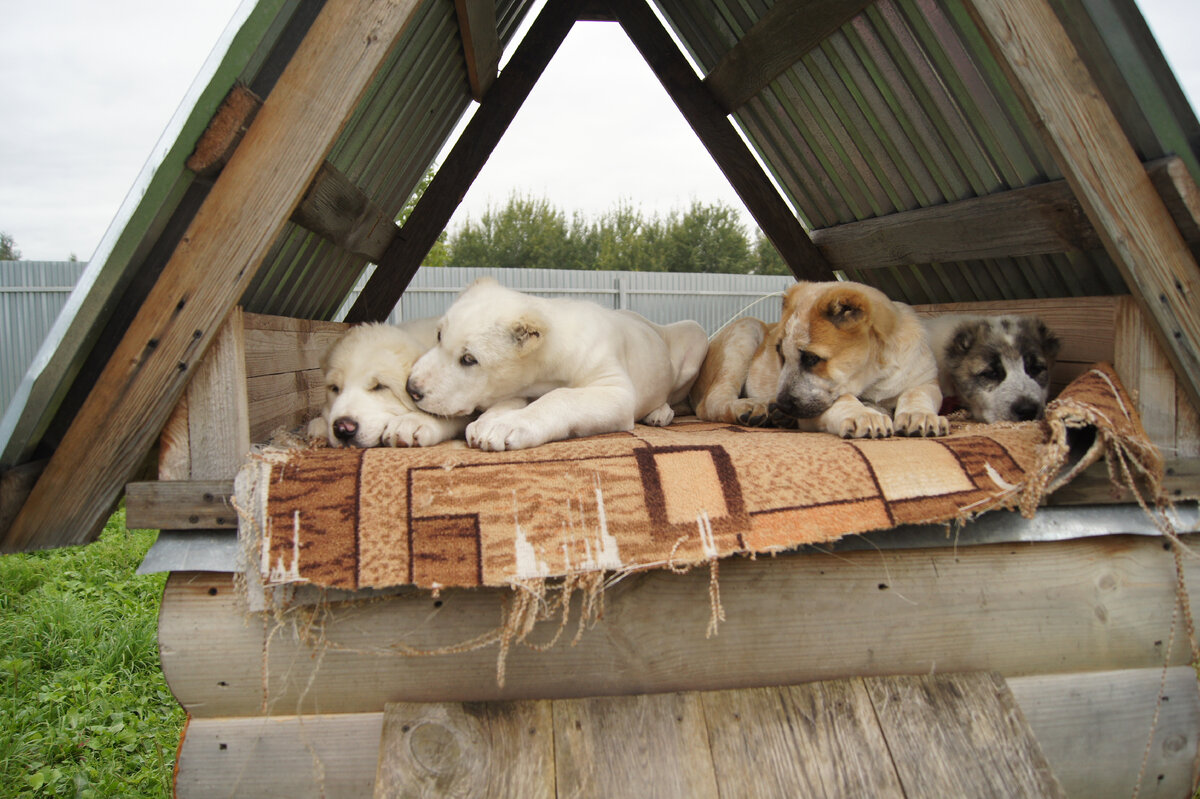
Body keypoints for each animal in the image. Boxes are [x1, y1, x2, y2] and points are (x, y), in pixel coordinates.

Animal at [403, 275, 705, 448]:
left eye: (469, 359)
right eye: (439, 336)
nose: (411, 388)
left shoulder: (614, 390)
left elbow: (561, 397)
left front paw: (508, 425)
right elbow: (512, 400)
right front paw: (490, 419)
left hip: (694, 335)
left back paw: (660, 412)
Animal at [691, 279, 950, 439]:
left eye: (811, 358)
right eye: (780, 354)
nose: (781, 405)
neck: (876, 376)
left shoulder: (926, 381)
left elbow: (915, 394)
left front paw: (920, 415)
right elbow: (844, 398)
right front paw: (862, 414)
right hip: (746, 329)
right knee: (711, 402)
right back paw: (751, 407)